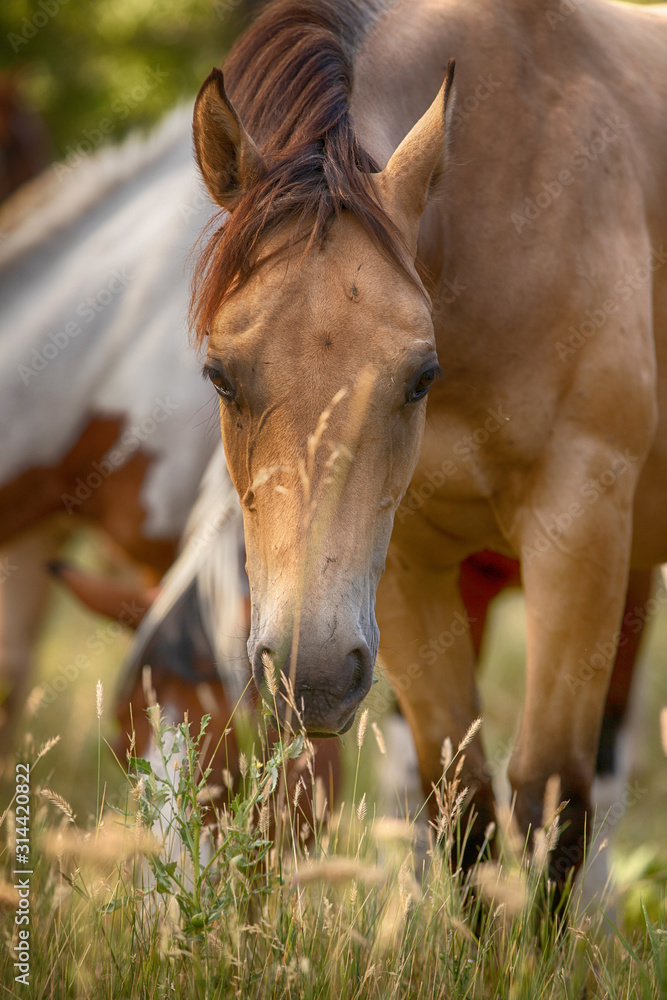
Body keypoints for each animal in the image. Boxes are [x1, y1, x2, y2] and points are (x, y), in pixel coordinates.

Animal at [189, 0, 667, 885]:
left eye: (419, 375)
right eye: (219, 374)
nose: (309, 677)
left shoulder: (577, 530)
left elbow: (551, 802)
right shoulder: (409, 563)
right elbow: (464, 810)